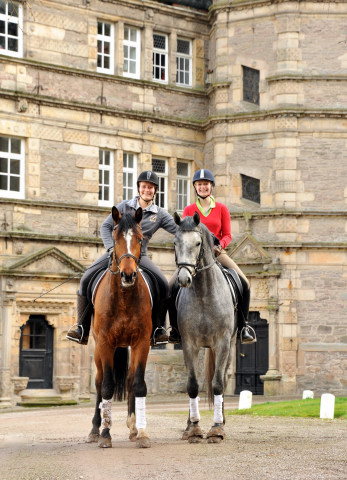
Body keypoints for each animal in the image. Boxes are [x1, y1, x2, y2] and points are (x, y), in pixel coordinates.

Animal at [87, 207, 152, 450]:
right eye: (115, 239)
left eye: (140, 238)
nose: (128, 275)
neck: (124, 297)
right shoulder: (106, 342)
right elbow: (107, 386)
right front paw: (105, 434)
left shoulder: (142, 342)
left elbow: (139, 384)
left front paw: (142, 433)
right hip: (98, 348)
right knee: (99, 382)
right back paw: (95, 430)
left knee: (131, 379)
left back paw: (133, 428)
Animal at [174, 212, 239, 444]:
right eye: (175, 242)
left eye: (198, 243)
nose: (184, 278)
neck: (203, 292)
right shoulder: (189, 344)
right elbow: (192, 385)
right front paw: (193, 428)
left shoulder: (222, 343)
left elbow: (218, 383)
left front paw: (217, 428)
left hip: (229, 346)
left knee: (222, 379)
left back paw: (222, 420)